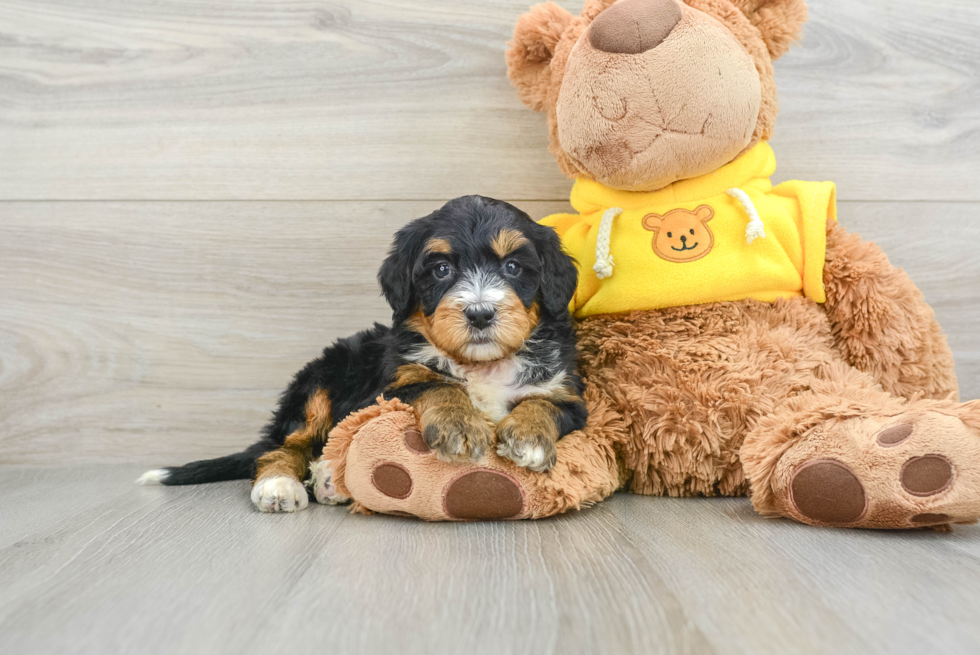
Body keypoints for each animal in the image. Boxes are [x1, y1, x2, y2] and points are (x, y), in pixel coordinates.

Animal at [141, 197, 584, 516]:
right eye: (441, 269)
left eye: (513, 267)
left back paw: (327, 482)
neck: (481, 364)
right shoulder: (389, 386)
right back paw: (280, 486)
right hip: (318, 384)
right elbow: (436, 385)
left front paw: (529, 438)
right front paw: (459, 426)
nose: (479, 313)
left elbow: (545, 404)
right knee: (282, 447)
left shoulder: (571, 396)